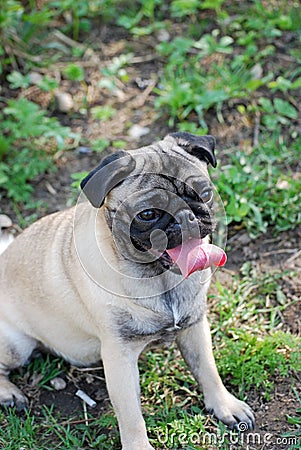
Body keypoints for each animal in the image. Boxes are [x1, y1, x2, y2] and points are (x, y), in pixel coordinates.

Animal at [0, 132, 253, 448]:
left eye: (205, 194)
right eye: (148, 214)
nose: (187, 216)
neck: (160, 279)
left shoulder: (194, 328)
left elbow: (207, 370)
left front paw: (223, 405)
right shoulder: (118, 356)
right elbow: (131, 415)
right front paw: (138, 445)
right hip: (15, 346)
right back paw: (9, 393)